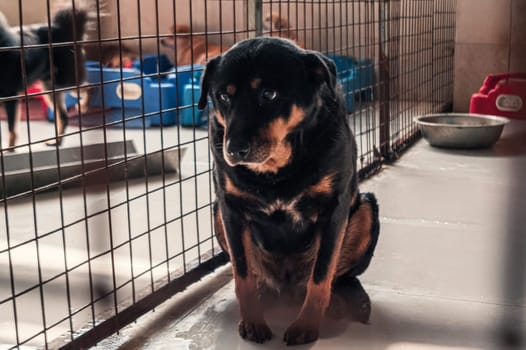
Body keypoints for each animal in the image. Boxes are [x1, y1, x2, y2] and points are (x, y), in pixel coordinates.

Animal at [0, 6, 88, 149]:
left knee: (89, 87)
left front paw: (10, 149)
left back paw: (84, 105)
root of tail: (65, 29)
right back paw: (56, 142)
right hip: (51, 86)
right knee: (64, 116)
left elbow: (11, 129)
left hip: (65, 80)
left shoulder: (11, 95)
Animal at [199, 37, 380, 344]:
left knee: (338, 278)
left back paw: (349, 301)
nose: (234, 149)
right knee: (258, 277)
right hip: (216, 214)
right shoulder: (229, 208)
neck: (276, 169)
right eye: (223, 96)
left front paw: (306, 325)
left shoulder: (335, 210)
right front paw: (253, 321)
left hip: (366, 209)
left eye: (269, 94)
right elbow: (242, 274)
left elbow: (321, 276)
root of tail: (287, 289)